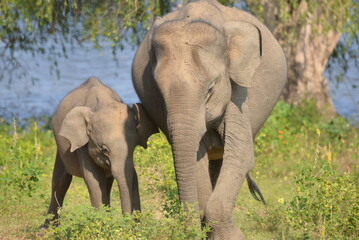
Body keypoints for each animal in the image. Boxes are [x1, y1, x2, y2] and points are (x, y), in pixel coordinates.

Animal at [43, 76, 158, 225]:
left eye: (133, 147)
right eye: (104, 149)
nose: (127, 220)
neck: (104, 102)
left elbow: (132, 176)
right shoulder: (83, 145)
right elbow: (94, 179)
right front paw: (101, 224)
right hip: (62, 148)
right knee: (61, 181)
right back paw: (47, 228)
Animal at [132, 0, 286, 238]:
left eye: (211, 88)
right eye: (158, 91)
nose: (190, 232)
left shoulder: (239, 90)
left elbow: (240, 154)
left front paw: (230, 236)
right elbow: (197, 159)